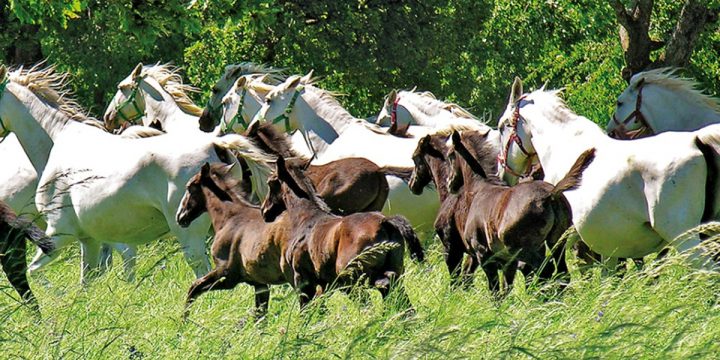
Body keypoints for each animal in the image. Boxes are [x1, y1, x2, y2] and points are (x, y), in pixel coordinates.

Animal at [0, 65, 270, 284]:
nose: (109, 118)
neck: (57, 141)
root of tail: (217, 145)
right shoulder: (90, 240)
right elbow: (89, 280)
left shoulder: (57, 234)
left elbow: (35, 273)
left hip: (190, 236)